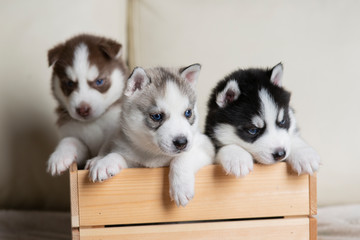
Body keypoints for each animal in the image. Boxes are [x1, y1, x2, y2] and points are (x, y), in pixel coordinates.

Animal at [46, 33, 128, 175]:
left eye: (99, 81)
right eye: (69, 83)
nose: (83, 109)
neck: (93, 122)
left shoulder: (114, 132)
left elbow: (107, 146)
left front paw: (99, 161)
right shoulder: (73, 131)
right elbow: (69, 140)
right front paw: (59, 156)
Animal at [86, 63, 215, 206]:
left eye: (188, 113)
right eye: (157, 116)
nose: (181, 143)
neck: (154, 153)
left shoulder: (205, 148)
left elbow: (181, 158)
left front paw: (181, 188)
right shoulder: (133, 162)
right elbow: (117, 154)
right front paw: (104, 163)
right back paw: (96, 160)